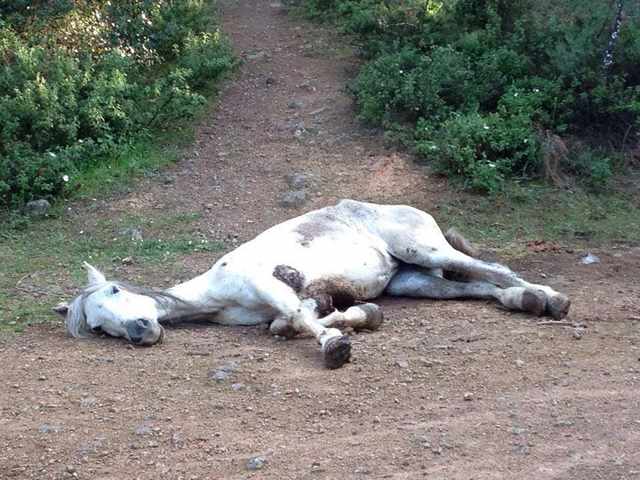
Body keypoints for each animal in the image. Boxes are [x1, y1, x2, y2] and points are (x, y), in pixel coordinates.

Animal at [52, 201, 568, 370]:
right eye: (98, 327)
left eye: (115, 291)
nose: (140, 330)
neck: (217, 291)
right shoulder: (290, 300)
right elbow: (295, 319)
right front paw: (357, 318)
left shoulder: (272, 286)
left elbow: (300, 317)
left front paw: (335, 345)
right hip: (414, 281)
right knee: (479, 288)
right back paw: (526, 300)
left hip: (427, 252)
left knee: (495, 268)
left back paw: (552, 299)